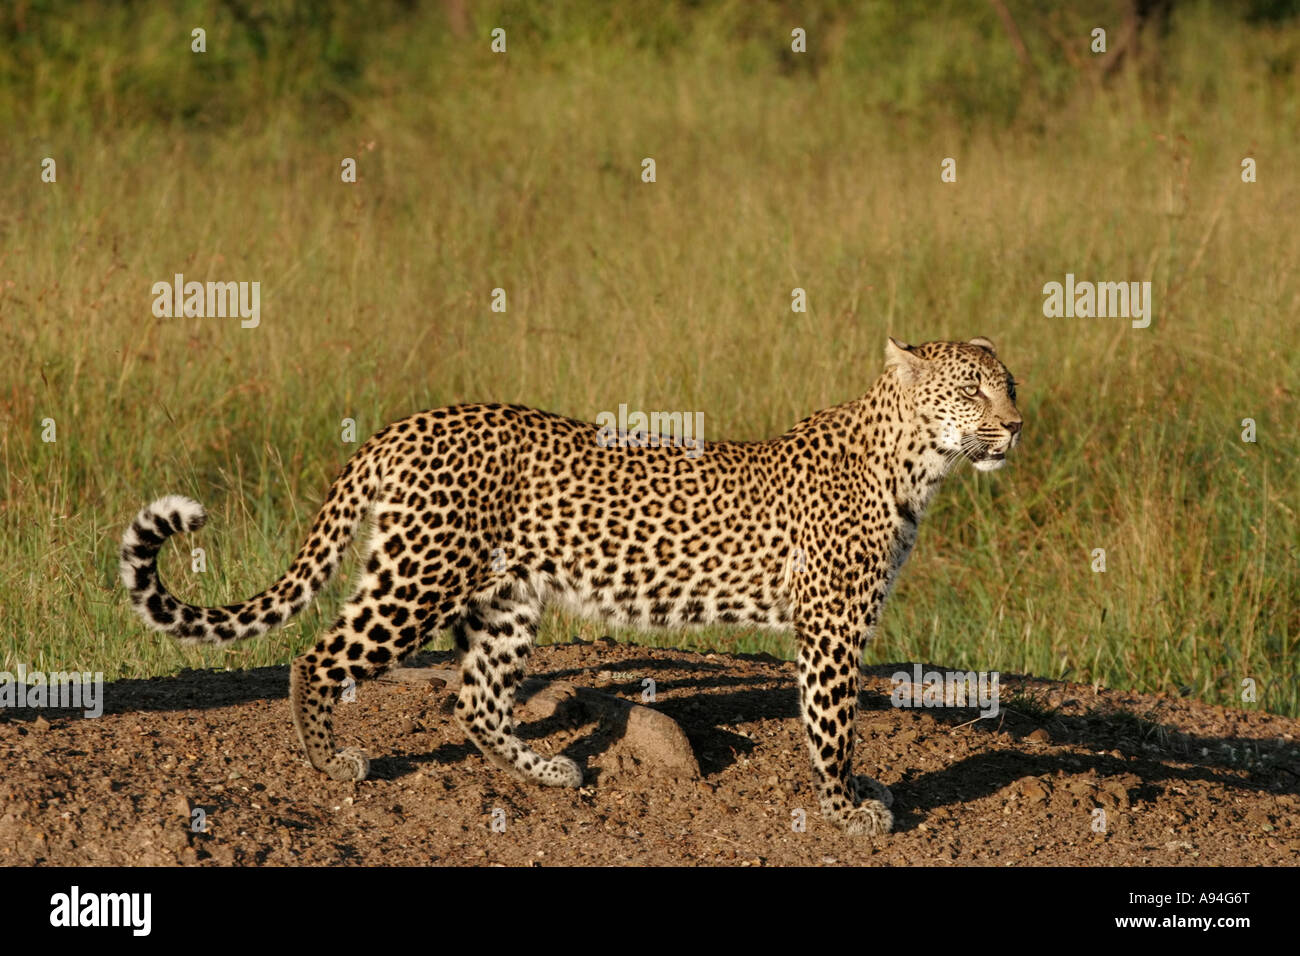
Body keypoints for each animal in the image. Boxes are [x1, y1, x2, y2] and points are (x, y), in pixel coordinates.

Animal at [120, 335, 1022, 836]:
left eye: (1010, 384)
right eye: (972, 389)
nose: (1016, 425)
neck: (918, 466)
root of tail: (406, 423)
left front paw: (859, 795)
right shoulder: (832, 625)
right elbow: (832, 729)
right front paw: (844, 812)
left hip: (505, 599)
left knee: (475, 699)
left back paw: (548, 773)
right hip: (420, 577)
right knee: (318, 655)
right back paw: (329, 760)